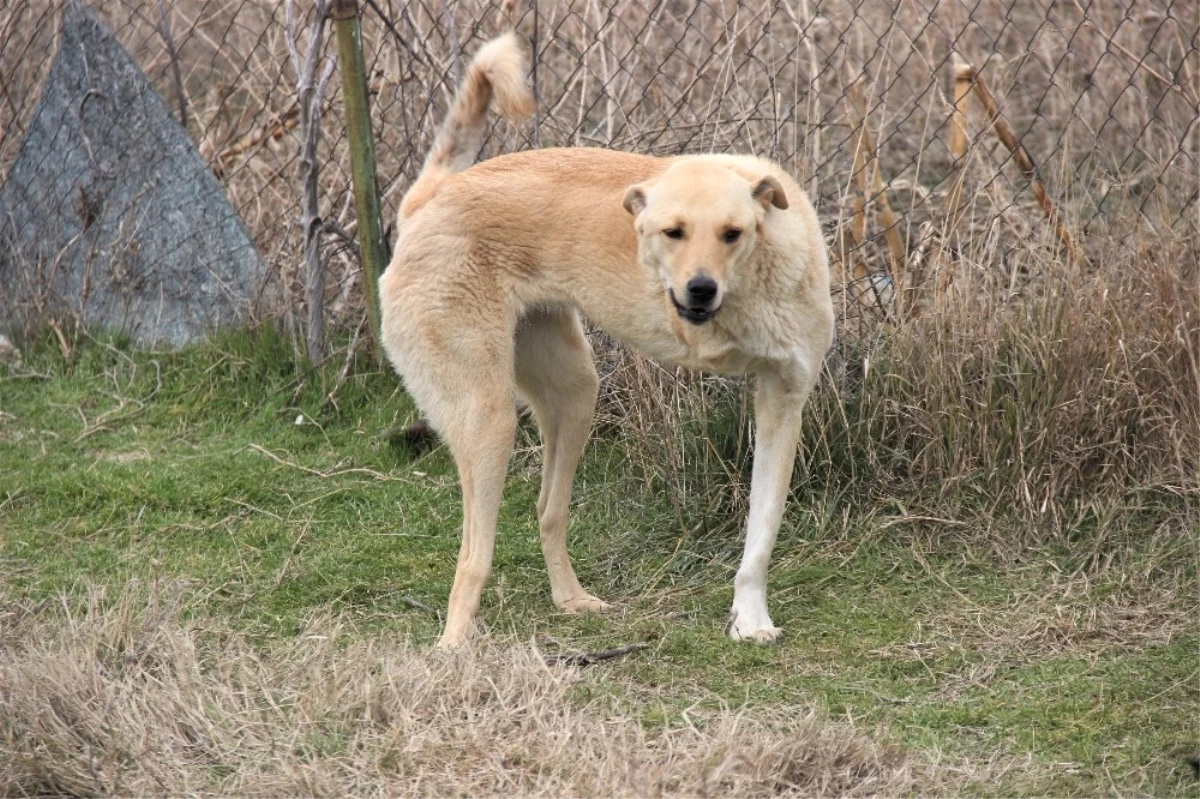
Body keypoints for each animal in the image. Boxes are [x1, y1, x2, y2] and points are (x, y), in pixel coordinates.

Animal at [384, 34, 835, 643]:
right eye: (672, 233)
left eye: (732, 234)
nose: (699, 290)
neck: (747, 291)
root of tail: (429, 197)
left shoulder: (783, 402)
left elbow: (761, 534)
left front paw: (750, 619)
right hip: (488, 419)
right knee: (473, 557)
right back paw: (455, 646)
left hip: (575, 397)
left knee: (548, 511)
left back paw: (570, 599)